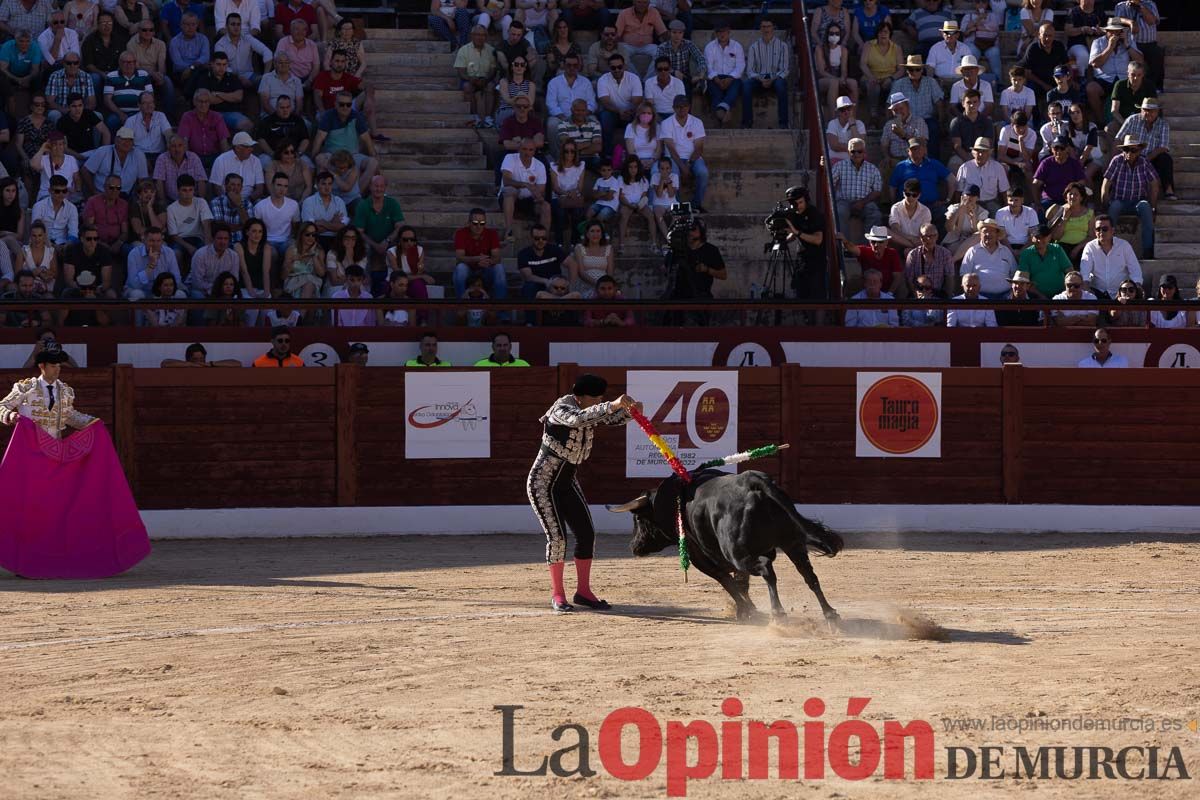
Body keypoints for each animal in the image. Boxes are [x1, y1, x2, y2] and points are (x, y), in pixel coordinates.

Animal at [604, 472, 840, 623]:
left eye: (638, 519)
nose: (634, 546)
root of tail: (753, 483)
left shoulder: (699, 557)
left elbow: (727, 582)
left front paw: (747, 611)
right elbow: (740, 583)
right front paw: (745, 610)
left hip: (739, 554)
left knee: (767, 570)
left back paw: (778, 613)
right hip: (792, 544)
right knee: (809, 575)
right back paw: (830, 615)